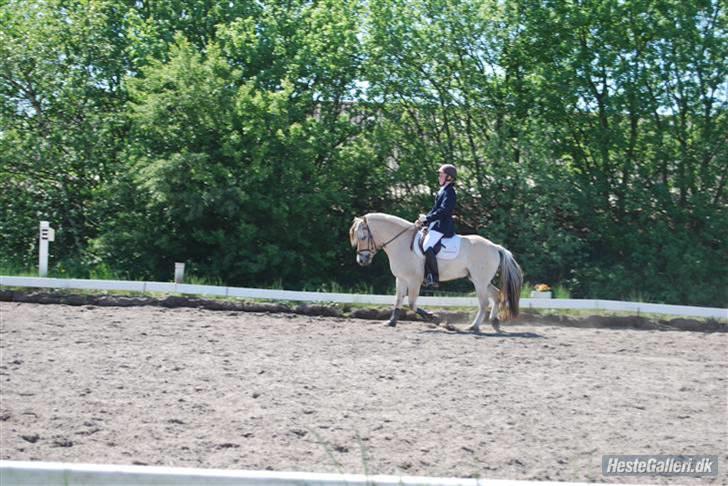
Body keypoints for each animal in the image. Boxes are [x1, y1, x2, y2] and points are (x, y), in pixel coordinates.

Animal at [350, 213, 520, 334]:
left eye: (363, 237)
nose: (361, 260)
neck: (401, 242)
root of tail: (495, 247)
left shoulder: (414, 280)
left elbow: (411, 304)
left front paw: (434, 319)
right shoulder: (401, 278)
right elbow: (398, 300)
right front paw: (391, 322)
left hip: (479, 281)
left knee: (484, 302)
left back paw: (474, 327)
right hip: (480, 280)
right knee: (496, 295)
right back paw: (494, 323)